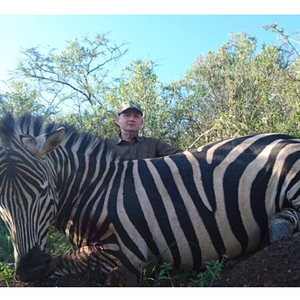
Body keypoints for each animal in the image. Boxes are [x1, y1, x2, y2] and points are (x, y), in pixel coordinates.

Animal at [0, 112, 300, 286]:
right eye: (1, 204)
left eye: (43, 191)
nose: (30, 269)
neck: (96, 189)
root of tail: (287, 136)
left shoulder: (122, 250)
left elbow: (60, 264)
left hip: (292, 171)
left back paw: (279, 227)